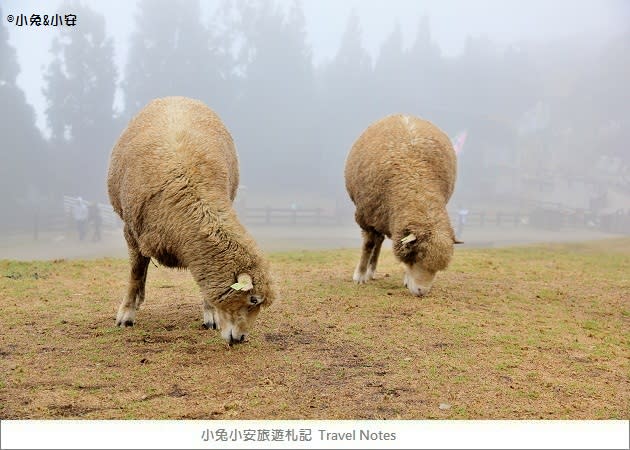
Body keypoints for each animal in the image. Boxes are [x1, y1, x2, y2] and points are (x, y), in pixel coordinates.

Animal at [107, 96, 276, 344]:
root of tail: (175, 97)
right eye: (253, 299)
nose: (241, 338)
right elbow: (135, 274)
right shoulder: (131, 232)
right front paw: (126, 314)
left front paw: (211, 315)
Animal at [346, 113, 460, 296]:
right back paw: (369, 272)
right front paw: (360, 276)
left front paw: (406, 279)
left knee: (379, 240)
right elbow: (368, 246)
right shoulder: (367, 217)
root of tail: (403, 114)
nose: (422, 292)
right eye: (417, 257)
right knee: (376, 241)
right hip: (377, 215)